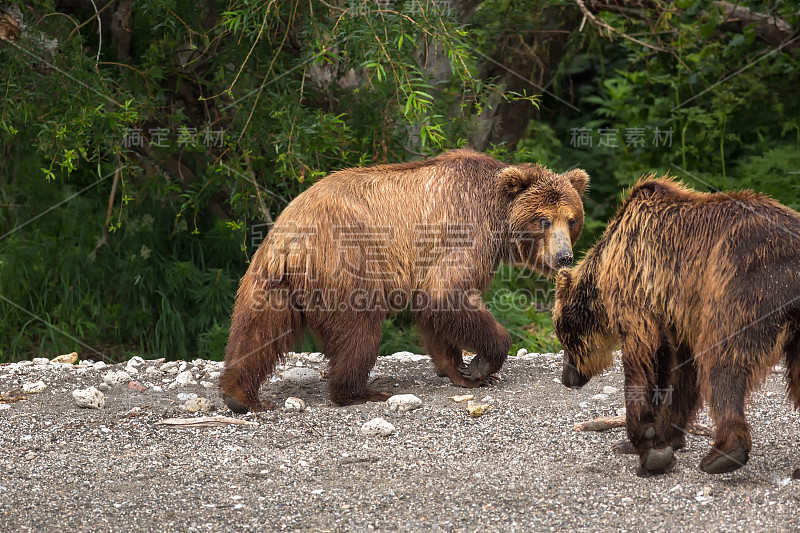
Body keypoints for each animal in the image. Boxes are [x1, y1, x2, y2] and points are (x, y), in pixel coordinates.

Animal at [222, 149, 592, 412]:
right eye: (543, 220)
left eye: (572, 220)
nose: (564, 257)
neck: (496, 214)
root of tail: (292, 238)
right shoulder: (464, 231)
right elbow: (448, 295)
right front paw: (482, 365)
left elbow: (435, 314)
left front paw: (458, 370)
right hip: (349, 263)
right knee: (359, 332)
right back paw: (361, 391)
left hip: (270, 278)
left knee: (256, 329)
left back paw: (239, 396)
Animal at [552, 177, 800, 476]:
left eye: (563, 336)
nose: (567, 378)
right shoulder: (677, 315)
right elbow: (680, 372)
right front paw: (662, 437)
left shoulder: (638, 286)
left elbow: (644, 361)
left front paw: (646, 443)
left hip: (746, 279)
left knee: (723, 358)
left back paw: (724, 453)